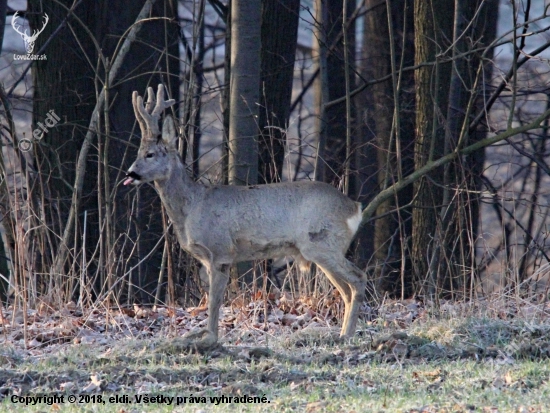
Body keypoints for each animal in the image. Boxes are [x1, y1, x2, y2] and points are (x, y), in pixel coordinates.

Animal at [125, 83, 370, 348]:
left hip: (323, 242)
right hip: (323, 249)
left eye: (150, 154)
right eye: (138, 152)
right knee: (345, 289)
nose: (130, 173)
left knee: (358, 278)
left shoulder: (220, 251)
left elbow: (214, 301)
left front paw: (209, 338)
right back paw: (341, 334)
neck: (192, 207)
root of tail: (354, 207)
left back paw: (347, 335)